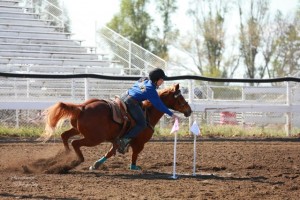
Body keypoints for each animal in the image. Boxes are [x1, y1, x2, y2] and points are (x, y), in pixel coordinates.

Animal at [41, 83, 192, 170]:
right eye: (180, 98)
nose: (189, 110)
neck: (148, 113)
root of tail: (82, 108)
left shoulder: (116, 140)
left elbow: (111, 151)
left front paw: (96, 164)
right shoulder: (139, 143)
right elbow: (134, 154)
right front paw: (134, 167)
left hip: (78, 130)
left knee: (64, 136)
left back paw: (66, 156)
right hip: (94, 138)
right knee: (75, 143)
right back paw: (75, 161)